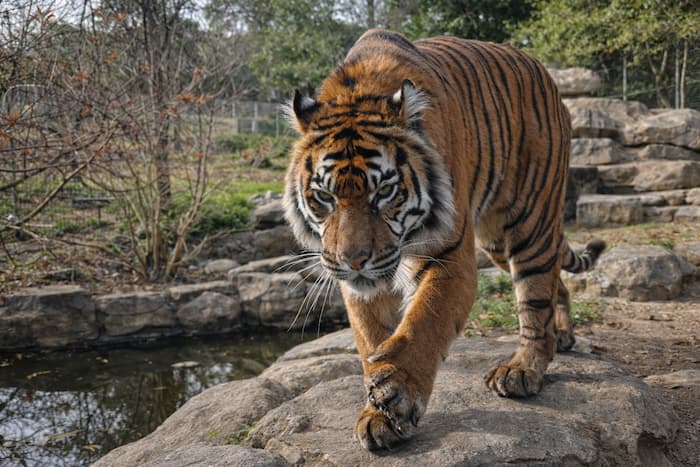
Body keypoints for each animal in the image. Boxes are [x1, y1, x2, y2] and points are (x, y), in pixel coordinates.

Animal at [283, 29, 606, 450]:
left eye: (384, 191)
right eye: (324, 196)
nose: (354, 261)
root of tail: (544, 73)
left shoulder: (449, 255)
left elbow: (425, 323)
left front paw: (398, 393)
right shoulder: (357, 283)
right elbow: (371, 339)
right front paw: (376, 412)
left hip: (529, 218)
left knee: (536, 294)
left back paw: (523, 369)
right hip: (496, 241)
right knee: (554, 280)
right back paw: (562, 335)